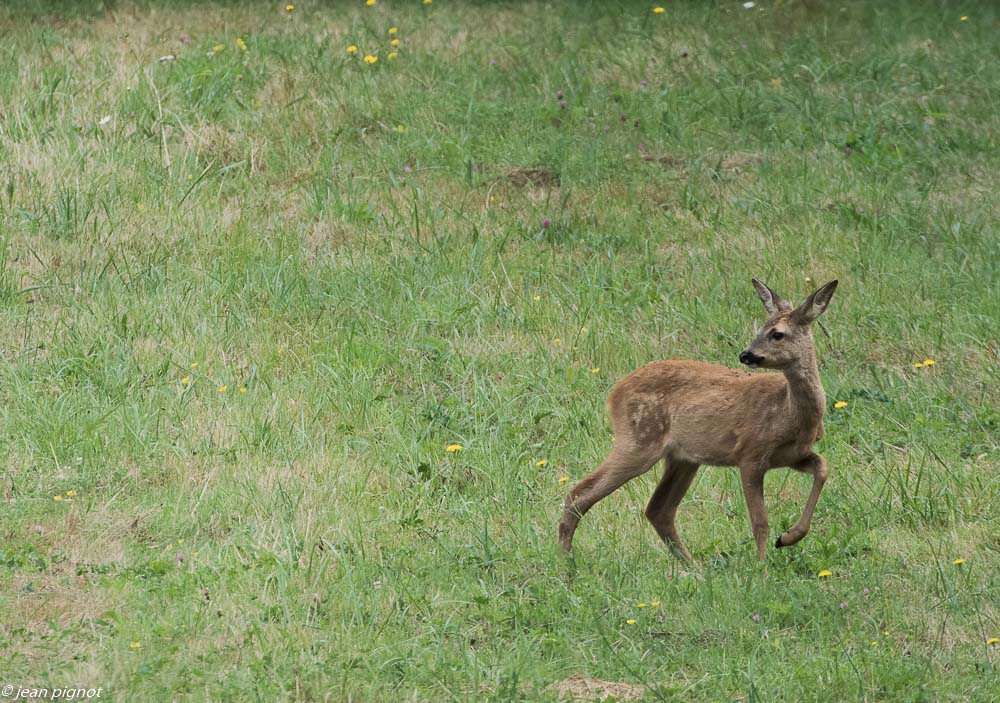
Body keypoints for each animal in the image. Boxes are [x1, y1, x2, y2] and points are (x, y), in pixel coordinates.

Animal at [560, 278, 840, 564]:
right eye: (760, 329)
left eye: (777, 334)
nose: (746, 354)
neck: (790, 414)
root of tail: (614, 393)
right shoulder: (750, 453)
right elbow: (760, 521)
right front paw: (762, 568)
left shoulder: (792, 455)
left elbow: (823, 468)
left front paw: (788, 537)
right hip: (638, 440)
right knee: (579, 494)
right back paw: (567, 563)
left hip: (682, 458)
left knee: (658, 509)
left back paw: (693, 567)